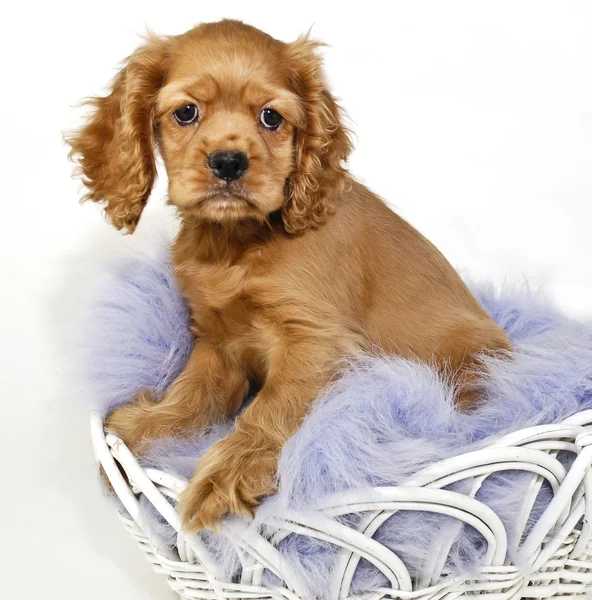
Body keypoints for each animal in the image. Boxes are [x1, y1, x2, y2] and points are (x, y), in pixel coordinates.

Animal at [68, 21, 512, 532]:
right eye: (186, 112)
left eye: (270, 117)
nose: (228, 162)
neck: (238, 244)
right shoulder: (219, 340)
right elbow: (191, 393)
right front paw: (144, 430)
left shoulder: (315, 342)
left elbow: (270, 409)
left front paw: (227, 476)